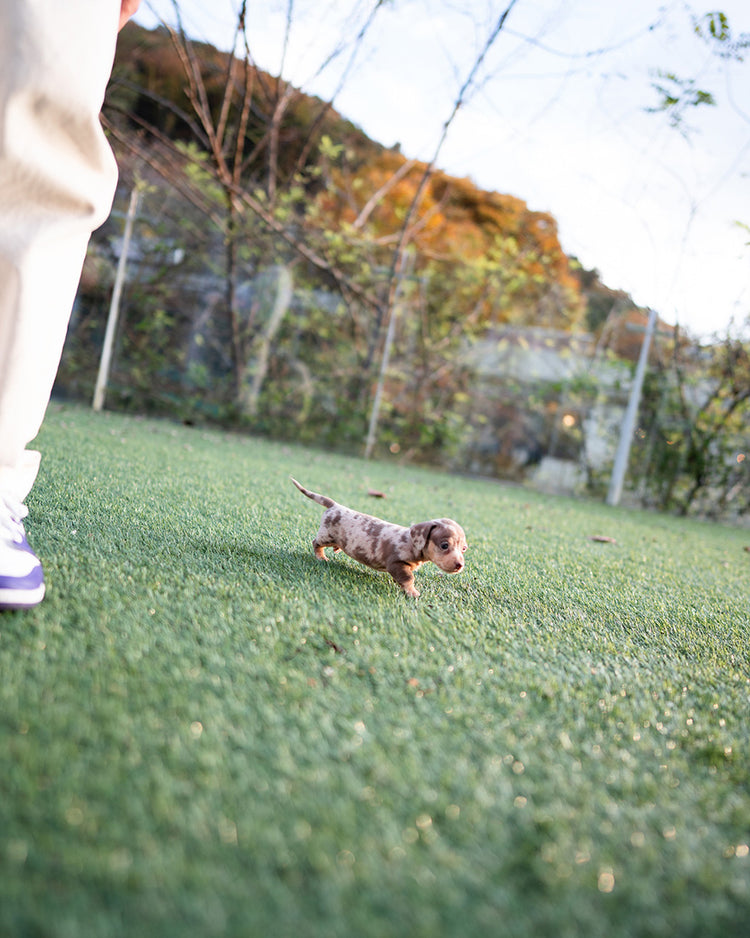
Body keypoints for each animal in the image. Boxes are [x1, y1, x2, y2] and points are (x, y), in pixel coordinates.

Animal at [290, 478, 468, 596]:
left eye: (464, 549)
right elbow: (408, 578)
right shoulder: (396, 562)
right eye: (444, 545)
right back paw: (321, 557)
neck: (410, 542)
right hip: (327, 534)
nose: (459, 565)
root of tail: (334, 505)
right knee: (316, 542)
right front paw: (412, 592)